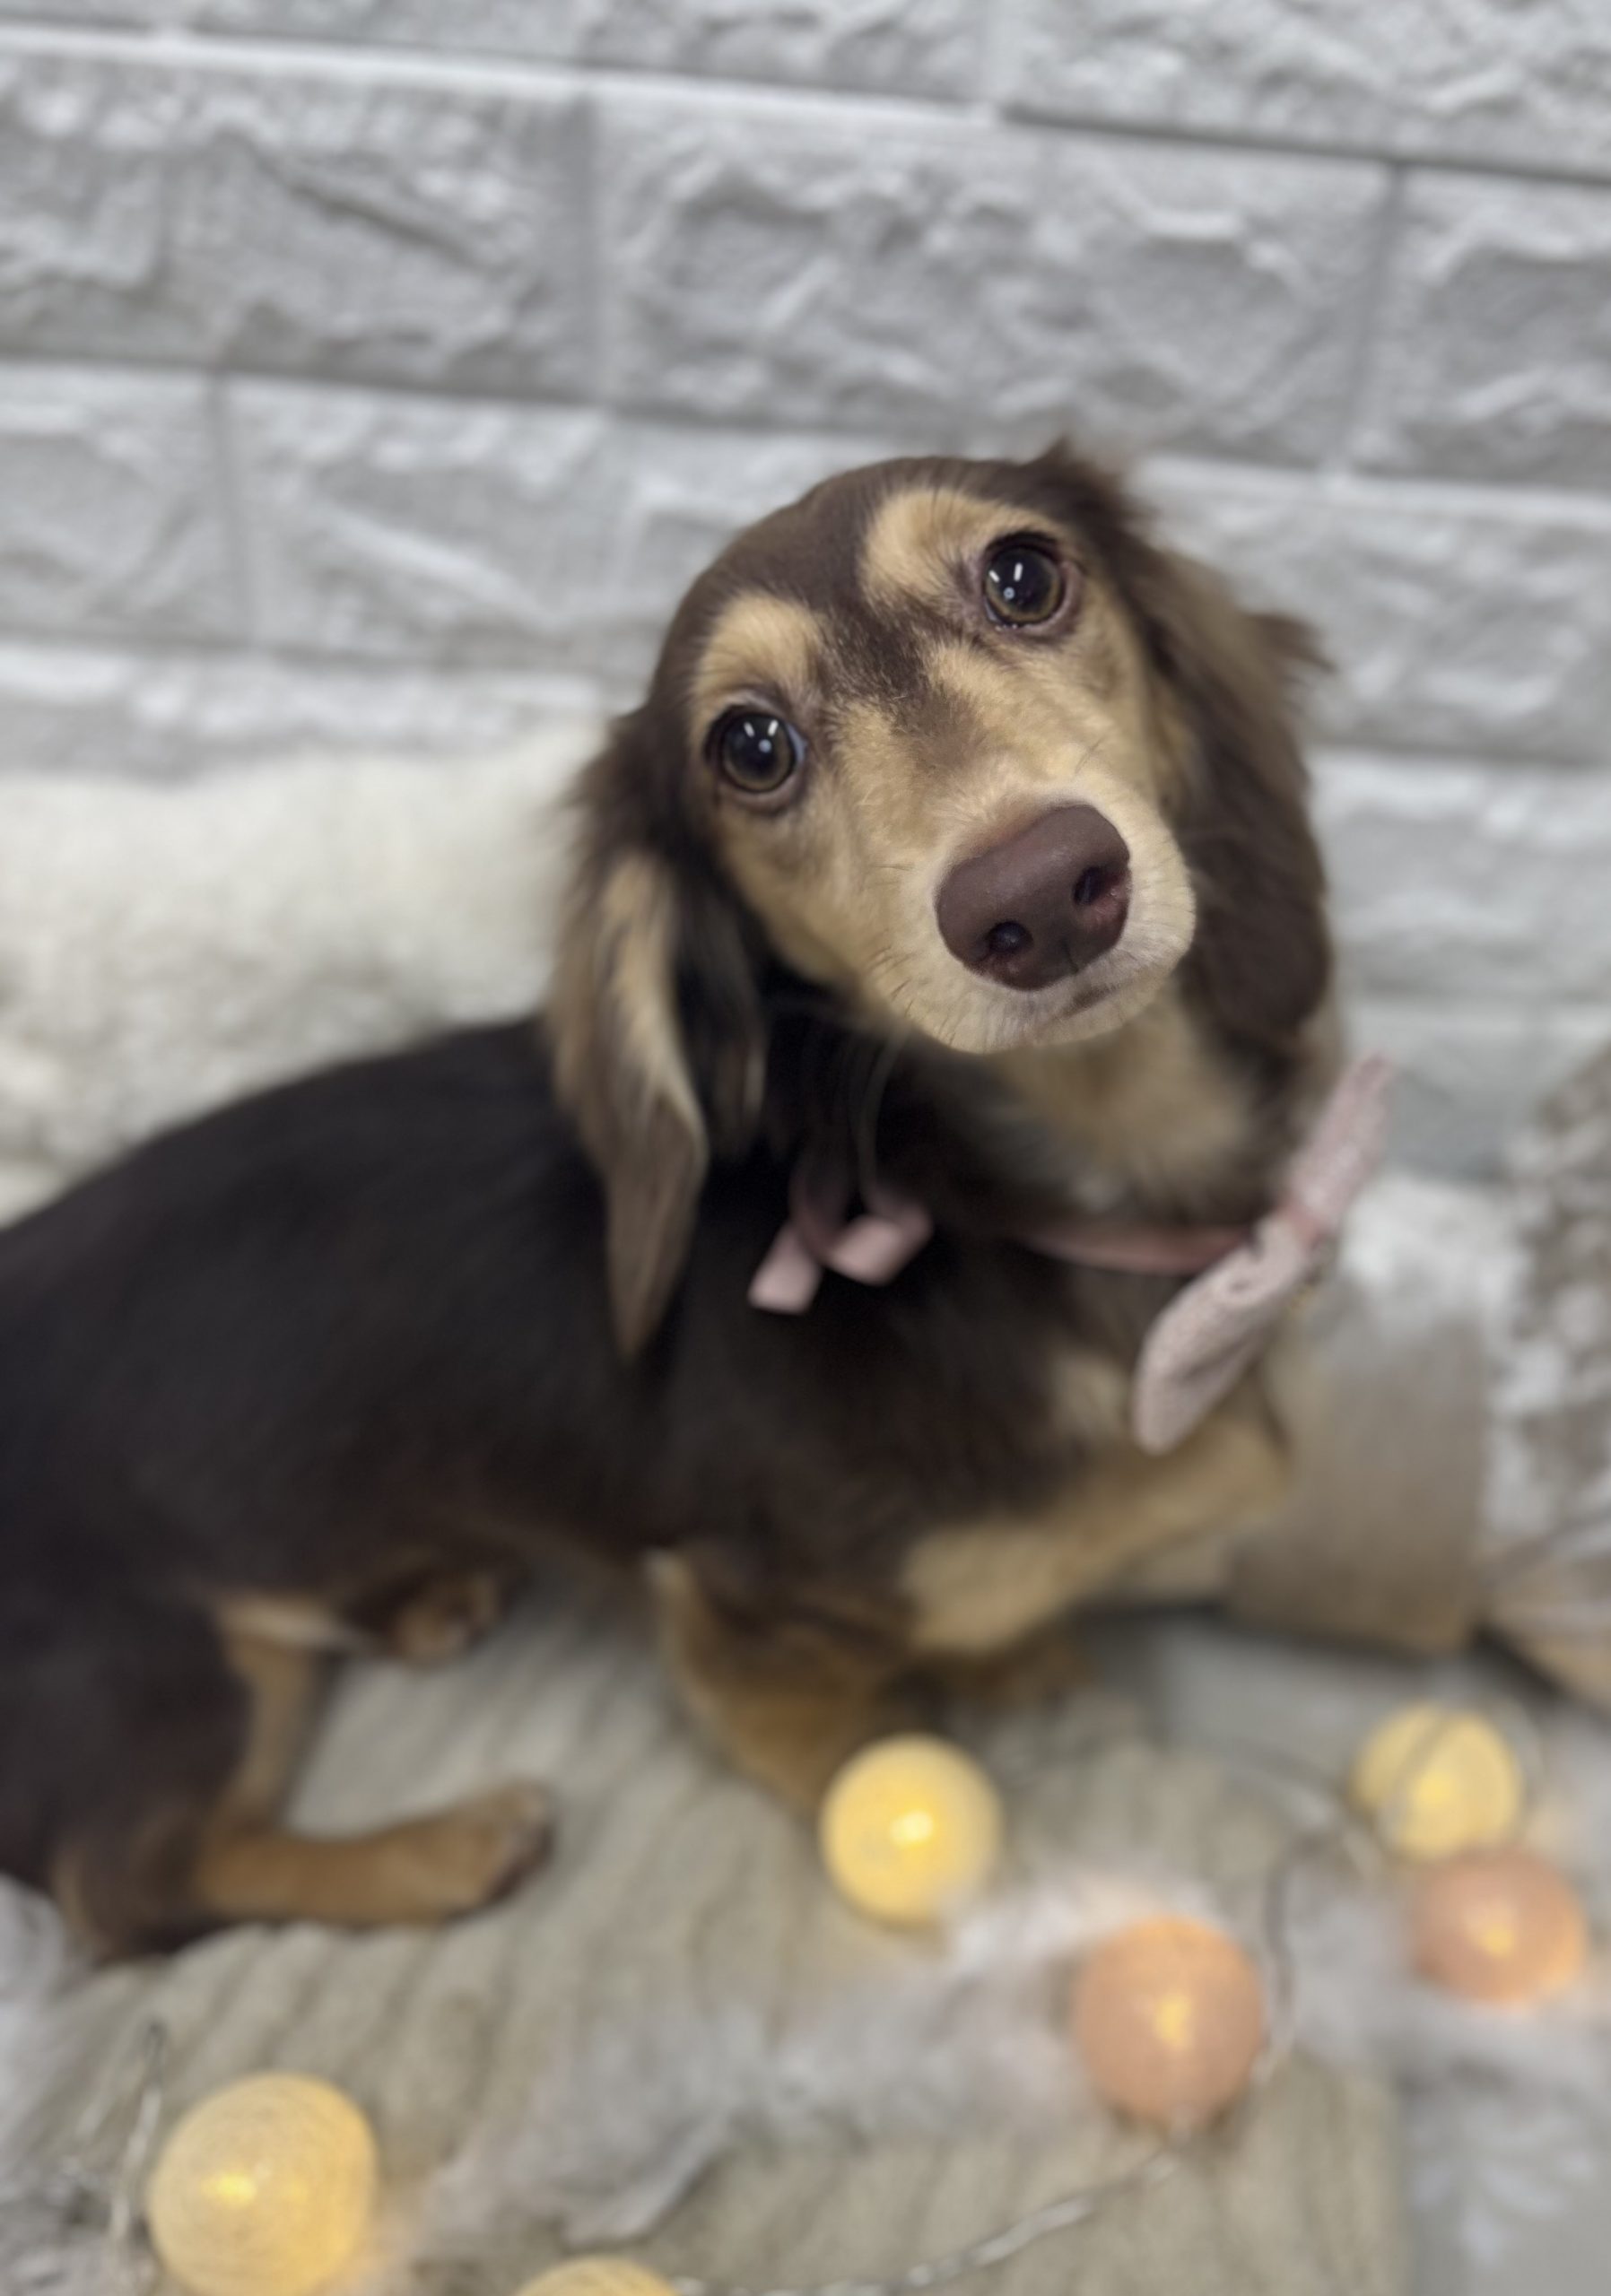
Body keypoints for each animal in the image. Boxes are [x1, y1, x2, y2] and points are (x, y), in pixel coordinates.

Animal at [0, 444, 1333, 1956]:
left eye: (1024, 575)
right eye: (750, 748)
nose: (1043, 895)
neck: (1024, 1205)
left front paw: (1020, 1658)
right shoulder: (724, 1606)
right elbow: (859, 1746)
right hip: (159, 1670)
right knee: (134, 1887)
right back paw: (441, 1851)